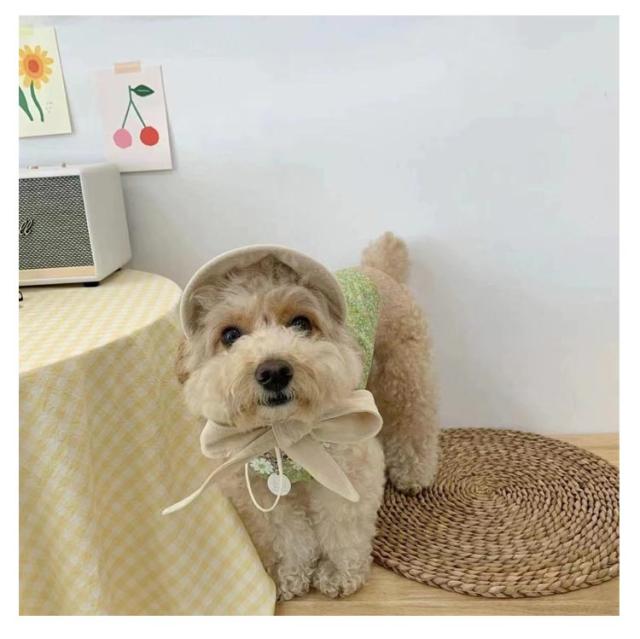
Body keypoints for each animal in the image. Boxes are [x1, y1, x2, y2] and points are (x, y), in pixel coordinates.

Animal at [175, 232, 439, 600]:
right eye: (230, 335)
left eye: (301, 323)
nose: (273, 371)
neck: (284, 434)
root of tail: (376, 267)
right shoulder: (258, 487)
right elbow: (283, 535)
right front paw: (288, 576)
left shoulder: (348, 468)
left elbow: (342, 528)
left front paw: (338, 574)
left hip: (404, 373)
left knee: (416, 419)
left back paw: (414, 473)